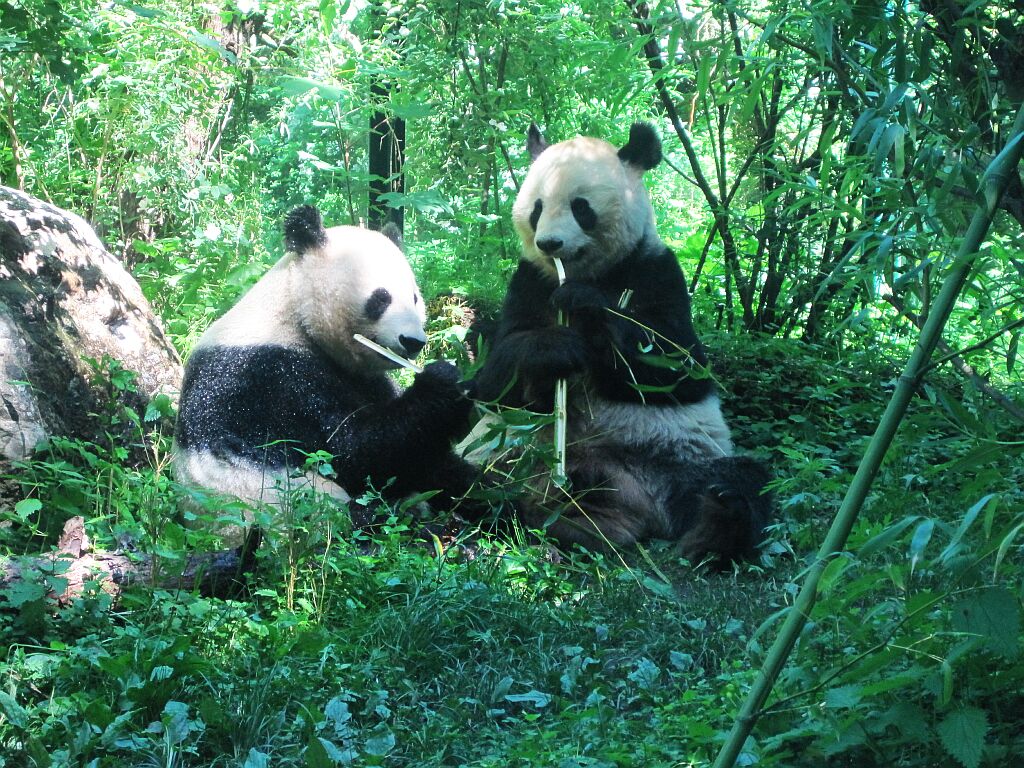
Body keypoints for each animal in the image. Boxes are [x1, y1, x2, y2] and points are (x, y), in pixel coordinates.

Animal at [174, 205, 477, 536]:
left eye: (414, 297)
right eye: (381, 298)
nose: (413, 342)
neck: (293, 310)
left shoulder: (366, 380)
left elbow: (422, 457)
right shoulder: (270, 377)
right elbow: (350, 452)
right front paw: (444, 383)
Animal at [471, 121, 770, 565]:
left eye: (580, 207)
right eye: (537, 208)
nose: (549, 244)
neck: (590, 272)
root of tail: (638, 507)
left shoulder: (658, 270)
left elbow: (678, 365)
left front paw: (586, 304)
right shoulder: (529, 281)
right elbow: (496, 379)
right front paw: (555, 350)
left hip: (680, 459)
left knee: (742, 478)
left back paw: (717, 524)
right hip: (516, 453)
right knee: (478, 473)